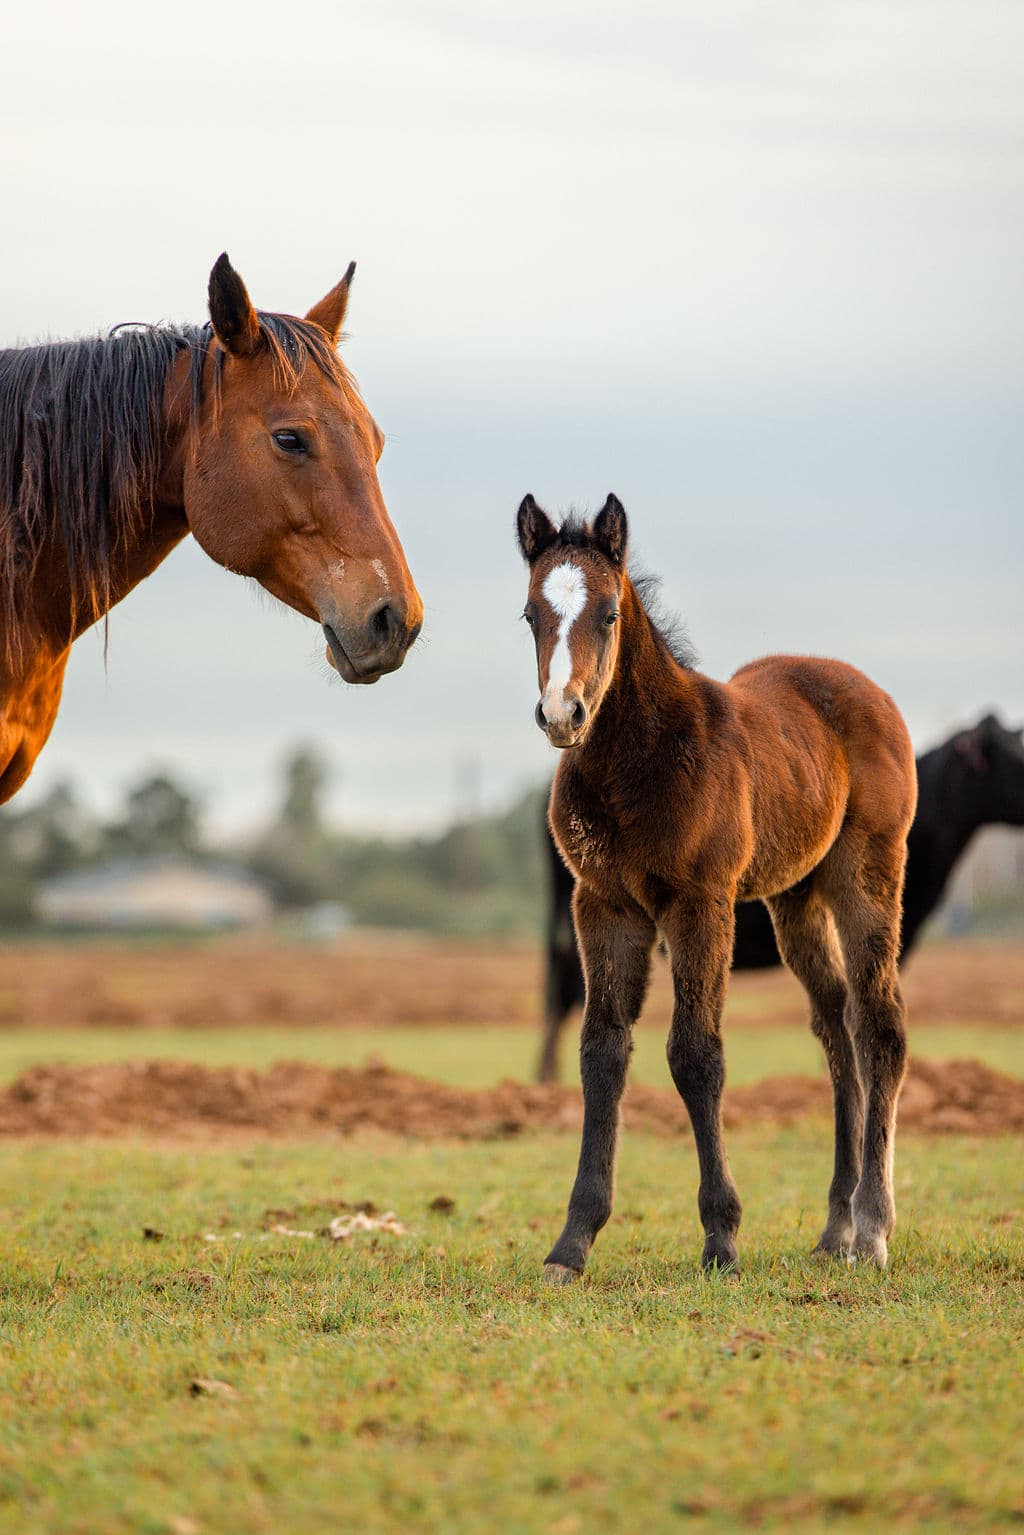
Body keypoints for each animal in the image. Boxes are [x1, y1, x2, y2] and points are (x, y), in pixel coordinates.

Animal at [517, 493, 917, 1276]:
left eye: (609, 613)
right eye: (529, 614)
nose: (561, 714)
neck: (638, 760)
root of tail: (870, 689)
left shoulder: (699, 903)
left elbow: (696, 1054)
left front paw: (721, 1236)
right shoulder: (603, 904)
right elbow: (601, 1052)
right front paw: (572, 1242)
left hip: (868, 874)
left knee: (879, 1025)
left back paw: (873, 1228)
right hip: (795, 897)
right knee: (835, 1026)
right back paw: (835, 1228)